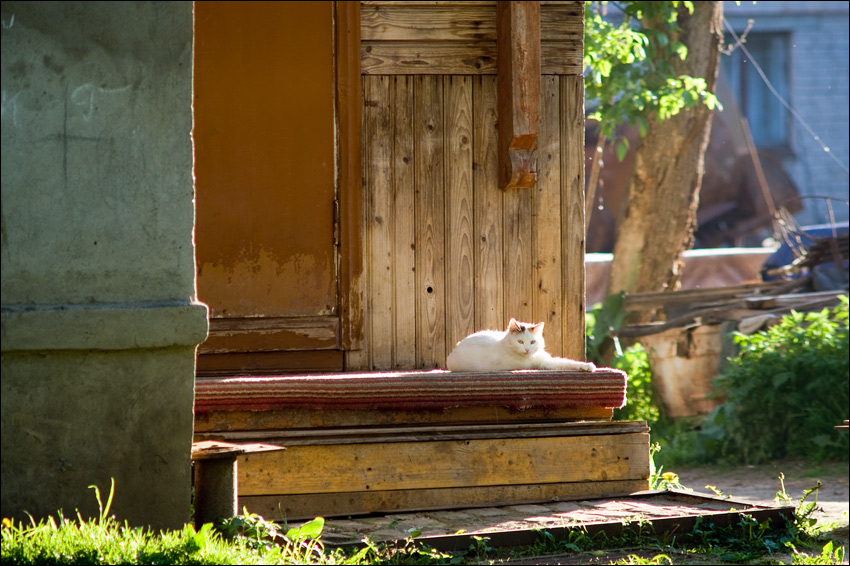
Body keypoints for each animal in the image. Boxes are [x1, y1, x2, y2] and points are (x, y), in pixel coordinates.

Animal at [448, 320, 592, 372]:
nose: (527, 349)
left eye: (533, 342)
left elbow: (566, 362)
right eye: (520, 342)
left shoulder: (547, 361)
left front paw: (586, 366)